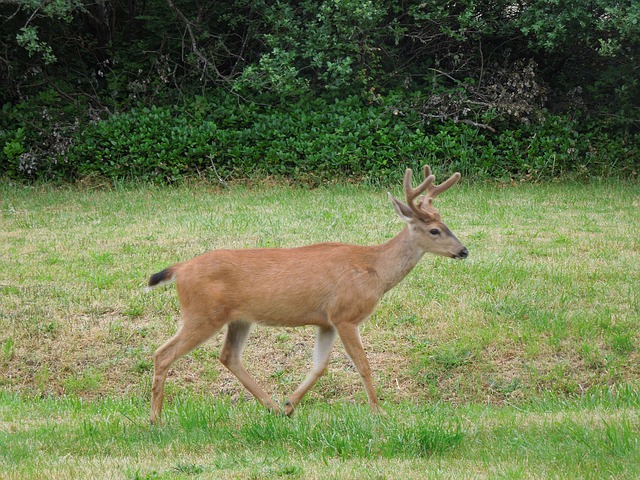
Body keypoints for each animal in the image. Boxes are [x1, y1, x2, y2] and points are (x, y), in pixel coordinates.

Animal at [146, 166, 467, 424]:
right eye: (435, 230)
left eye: (447, 225)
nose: (463, 250)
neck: (374, 271)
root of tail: (180, 269)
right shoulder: (345, 314)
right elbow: (363, 366)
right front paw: (379, 413)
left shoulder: (326, 321)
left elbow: (320, 366)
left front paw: (290, 404)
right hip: (202, 312)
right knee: (163, 353)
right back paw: (156, 420)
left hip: (238, 318)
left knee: (229, 356)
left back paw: (273, 408)